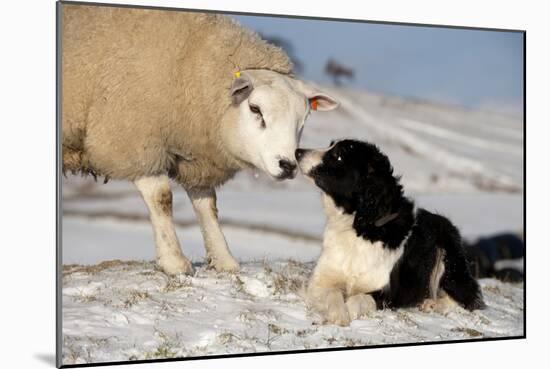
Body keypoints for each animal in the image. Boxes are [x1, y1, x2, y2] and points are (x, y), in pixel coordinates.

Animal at [63, 4, 340, 274]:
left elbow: (208, 206)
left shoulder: (196, 158)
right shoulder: (134, 140)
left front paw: (223, 259)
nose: (288, 165)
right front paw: (174, 261)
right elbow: (162, 198)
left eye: (304, 118)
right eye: (255, 109)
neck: (186, 66)